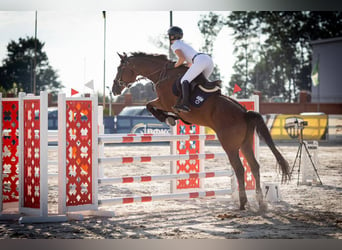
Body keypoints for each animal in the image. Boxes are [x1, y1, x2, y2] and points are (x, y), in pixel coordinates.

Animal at [113, 52, 290, 211]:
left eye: (120, 68)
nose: (114, 89)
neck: (163, 75)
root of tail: (244, 113)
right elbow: (150, 106)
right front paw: (172, 118)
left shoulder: (164, 102)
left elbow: (149, 105)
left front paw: (168, 118)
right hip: (245, 144)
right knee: (254, 167)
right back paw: (260, 203)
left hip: (230, 145)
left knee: (240, 169)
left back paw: (242, 203)